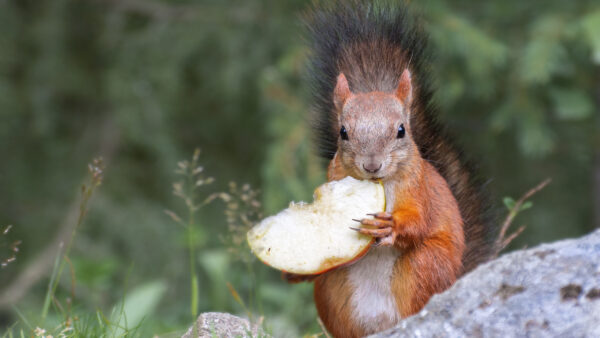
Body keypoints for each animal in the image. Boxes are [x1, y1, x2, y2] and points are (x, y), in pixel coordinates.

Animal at [284, 1, 494, 336]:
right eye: (343, 132)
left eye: (401, 130)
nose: (372, 165)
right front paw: (295, 271)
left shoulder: (419, 190)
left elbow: (418, 221)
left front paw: (391, 226)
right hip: (334, 290)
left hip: (425, 268)